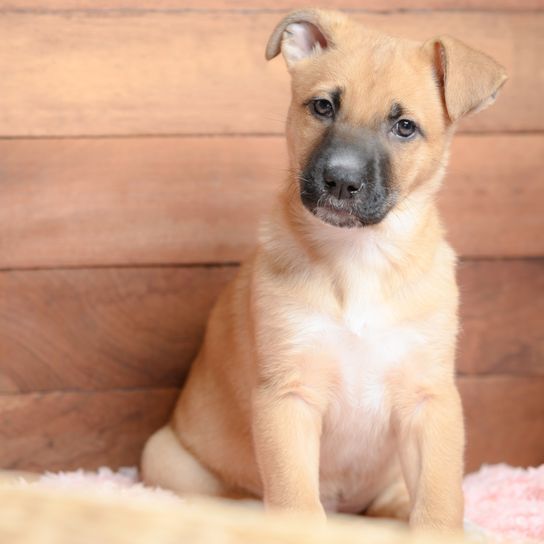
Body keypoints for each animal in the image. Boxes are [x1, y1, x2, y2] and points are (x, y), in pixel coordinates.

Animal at [142, 9, 508, 532]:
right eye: (322, 106)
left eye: (404, 127)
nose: (341, 180)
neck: (359, 257)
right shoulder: (287, 395)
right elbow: (295, 500)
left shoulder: (430, 399)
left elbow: (440, 498)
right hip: (165, 456)